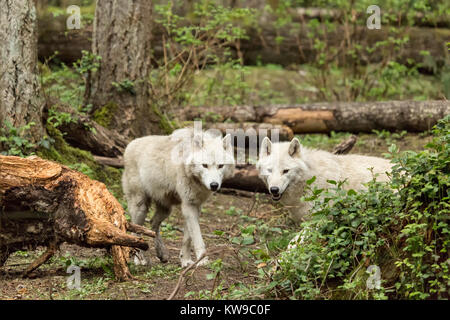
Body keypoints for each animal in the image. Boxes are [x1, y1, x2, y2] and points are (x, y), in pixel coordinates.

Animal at [123, 128, 236, 268]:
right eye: (204, 165)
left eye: (221, 166)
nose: (214, 185)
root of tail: (129, 145)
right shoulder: (188, 205)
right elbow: (197, 237)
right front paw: (202, 260)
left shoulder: (194, 205)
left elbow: (188, 238)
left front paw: (186, 260)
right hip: (140, 207)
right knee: (136, 231)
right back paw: (139, 259)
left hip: (166, 209)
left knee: (153, 224)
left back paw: (162, 254)